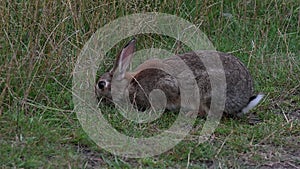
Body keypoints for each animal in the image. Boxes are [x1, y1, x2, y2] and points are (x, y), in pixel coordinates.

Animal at [95, 38, 264, 117]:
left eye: (101, 84)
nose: (97, 97)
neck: (128, 84)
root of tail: (243, 100)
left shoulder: (164, 85)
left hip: (208, 90)